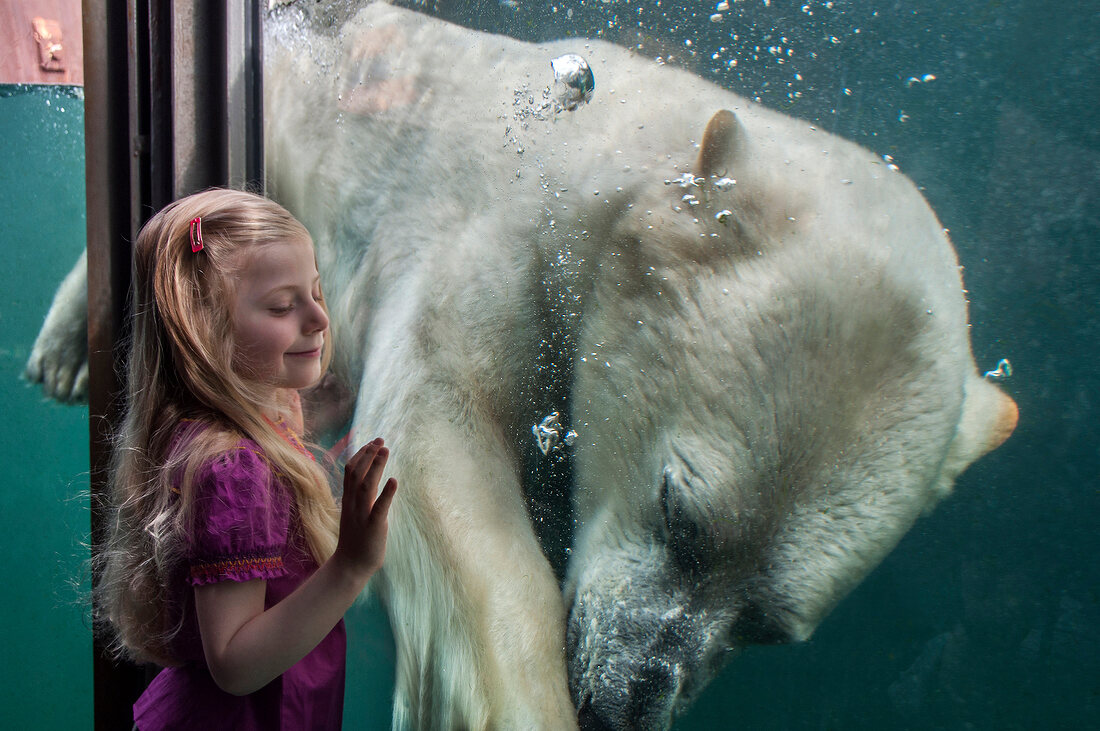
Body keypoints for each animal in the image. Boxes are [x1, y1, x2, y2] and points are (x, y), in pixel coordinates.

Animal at [27, 2, 1012, 725]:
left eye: (769, 624)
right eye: (680, 509)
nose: (627, 700)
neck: (592, 154)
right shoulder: (497, 223)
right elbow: (434, 429)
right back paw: (69, 350)